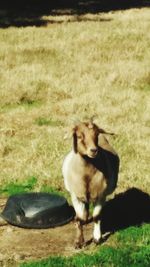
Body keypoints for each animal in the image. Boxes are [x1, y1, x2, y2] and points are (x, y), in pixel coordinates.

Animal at [62, 121, 119, 249]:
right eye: (79, 136)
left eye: (96, 135)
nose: (93, 150)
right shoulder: (76, 195)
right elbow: (79, 218)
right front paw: (79, 242)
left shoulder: (101, 195)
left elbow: (96, 216)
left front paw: (97, 238)